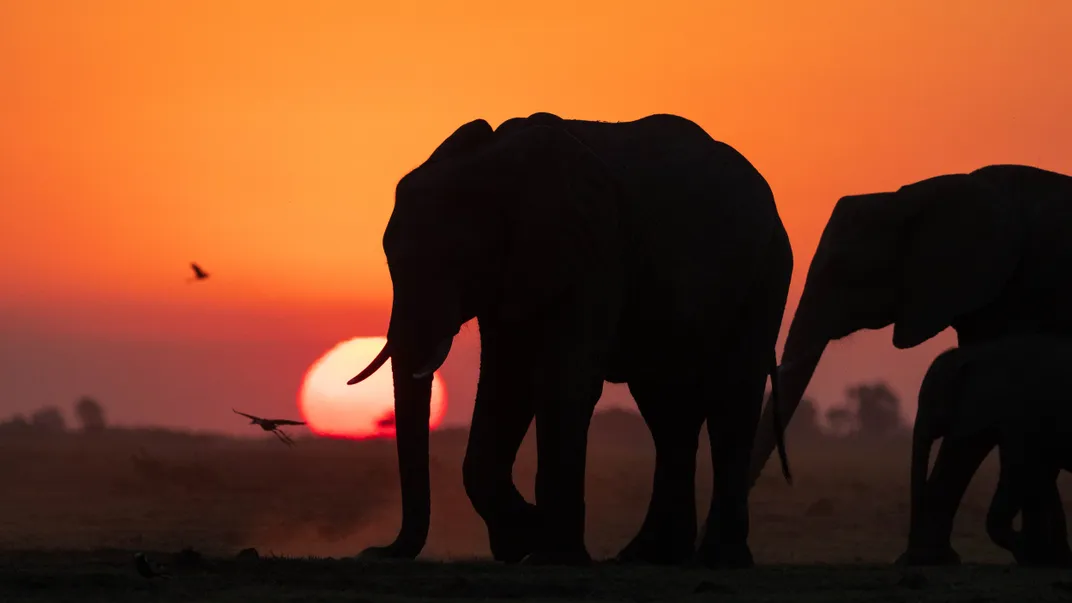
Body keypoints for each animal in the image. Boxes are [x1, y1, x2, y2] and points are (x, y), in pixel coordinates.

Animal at [346, 112, 794, 567]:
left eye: (454, 259)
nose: (375, 552)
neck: (494, 163)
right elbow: (508, 384)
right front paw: (523, 540)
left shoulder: (594, 252)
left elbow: (562, 381)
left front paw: (547, 552)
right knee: (667, 408)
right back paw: (648, 556)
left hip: (766, 271)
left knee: (730, 398)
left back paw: (720, 558)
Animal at [905, 336, 1072, 567]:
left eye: (931, 402)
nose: (913, 558)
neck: (979, 354)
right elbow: (1039, 475)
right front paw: (1047, 558)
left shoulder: (1020, 416)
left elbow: (1018, 471)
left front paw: (1028, 553)